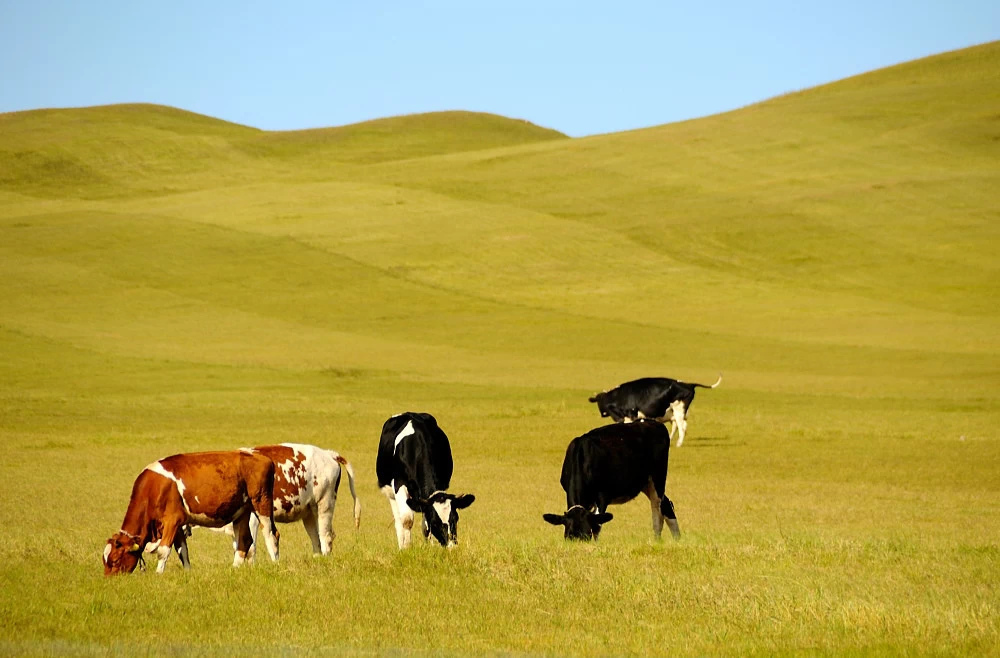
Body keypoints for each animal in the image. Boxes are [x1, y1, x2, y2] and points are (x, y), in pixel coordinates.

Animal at [104, 448, 282, 572]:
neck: (154, 488)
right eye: (104, 561)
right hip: (242, 511)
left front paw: (158, 574)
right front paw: (187, 572)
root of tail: (262, 458)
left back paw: (275, 564)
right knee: (244, 541)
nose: (110, 580)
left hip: (261, 503)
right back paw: (234, 568)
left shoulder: (172, 520)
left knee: (271, 534)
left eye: (115, 561)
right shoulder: (178, 524)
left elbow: (163, 550)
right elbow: (182, 550)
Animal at [217, 440, 362, 560]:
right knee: (316, 538)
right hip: (309, 512)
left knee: (325, 536)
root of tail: (329, 454)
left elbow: (250, 547)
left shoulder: (253, 517)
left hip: (325, 504)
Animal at [376, 410, 476, 548]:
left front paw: (429, 547)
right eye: (435, 522)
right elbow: (407, 519)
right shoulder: (399, 484)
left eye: (455, 518)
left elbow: (425, 526)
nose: (452, 547)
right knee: (398, 520)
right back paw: (401, 545)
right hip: (390, 493)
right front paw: (407, 548)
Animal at [544, 420, 684, 540]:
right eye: (569, 537)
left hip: (657, 478)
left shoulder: (602, 496)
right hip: (645, 483)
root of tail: (655, 423)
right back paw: (673, 539)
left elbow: (597, 526)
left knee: (657, 507)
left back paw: (658, 539)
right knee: (666, 504)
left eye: (587, 536)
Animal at [584, 374, 720, 446]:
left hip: (678, 410)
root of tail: (688, 384)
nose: (602, 414)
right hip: (674, 412)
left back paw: (678, 444)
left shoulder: (630, 415)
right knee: (677, 425)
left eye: (602, 404)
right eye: (599, 402)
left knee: (682, 426)